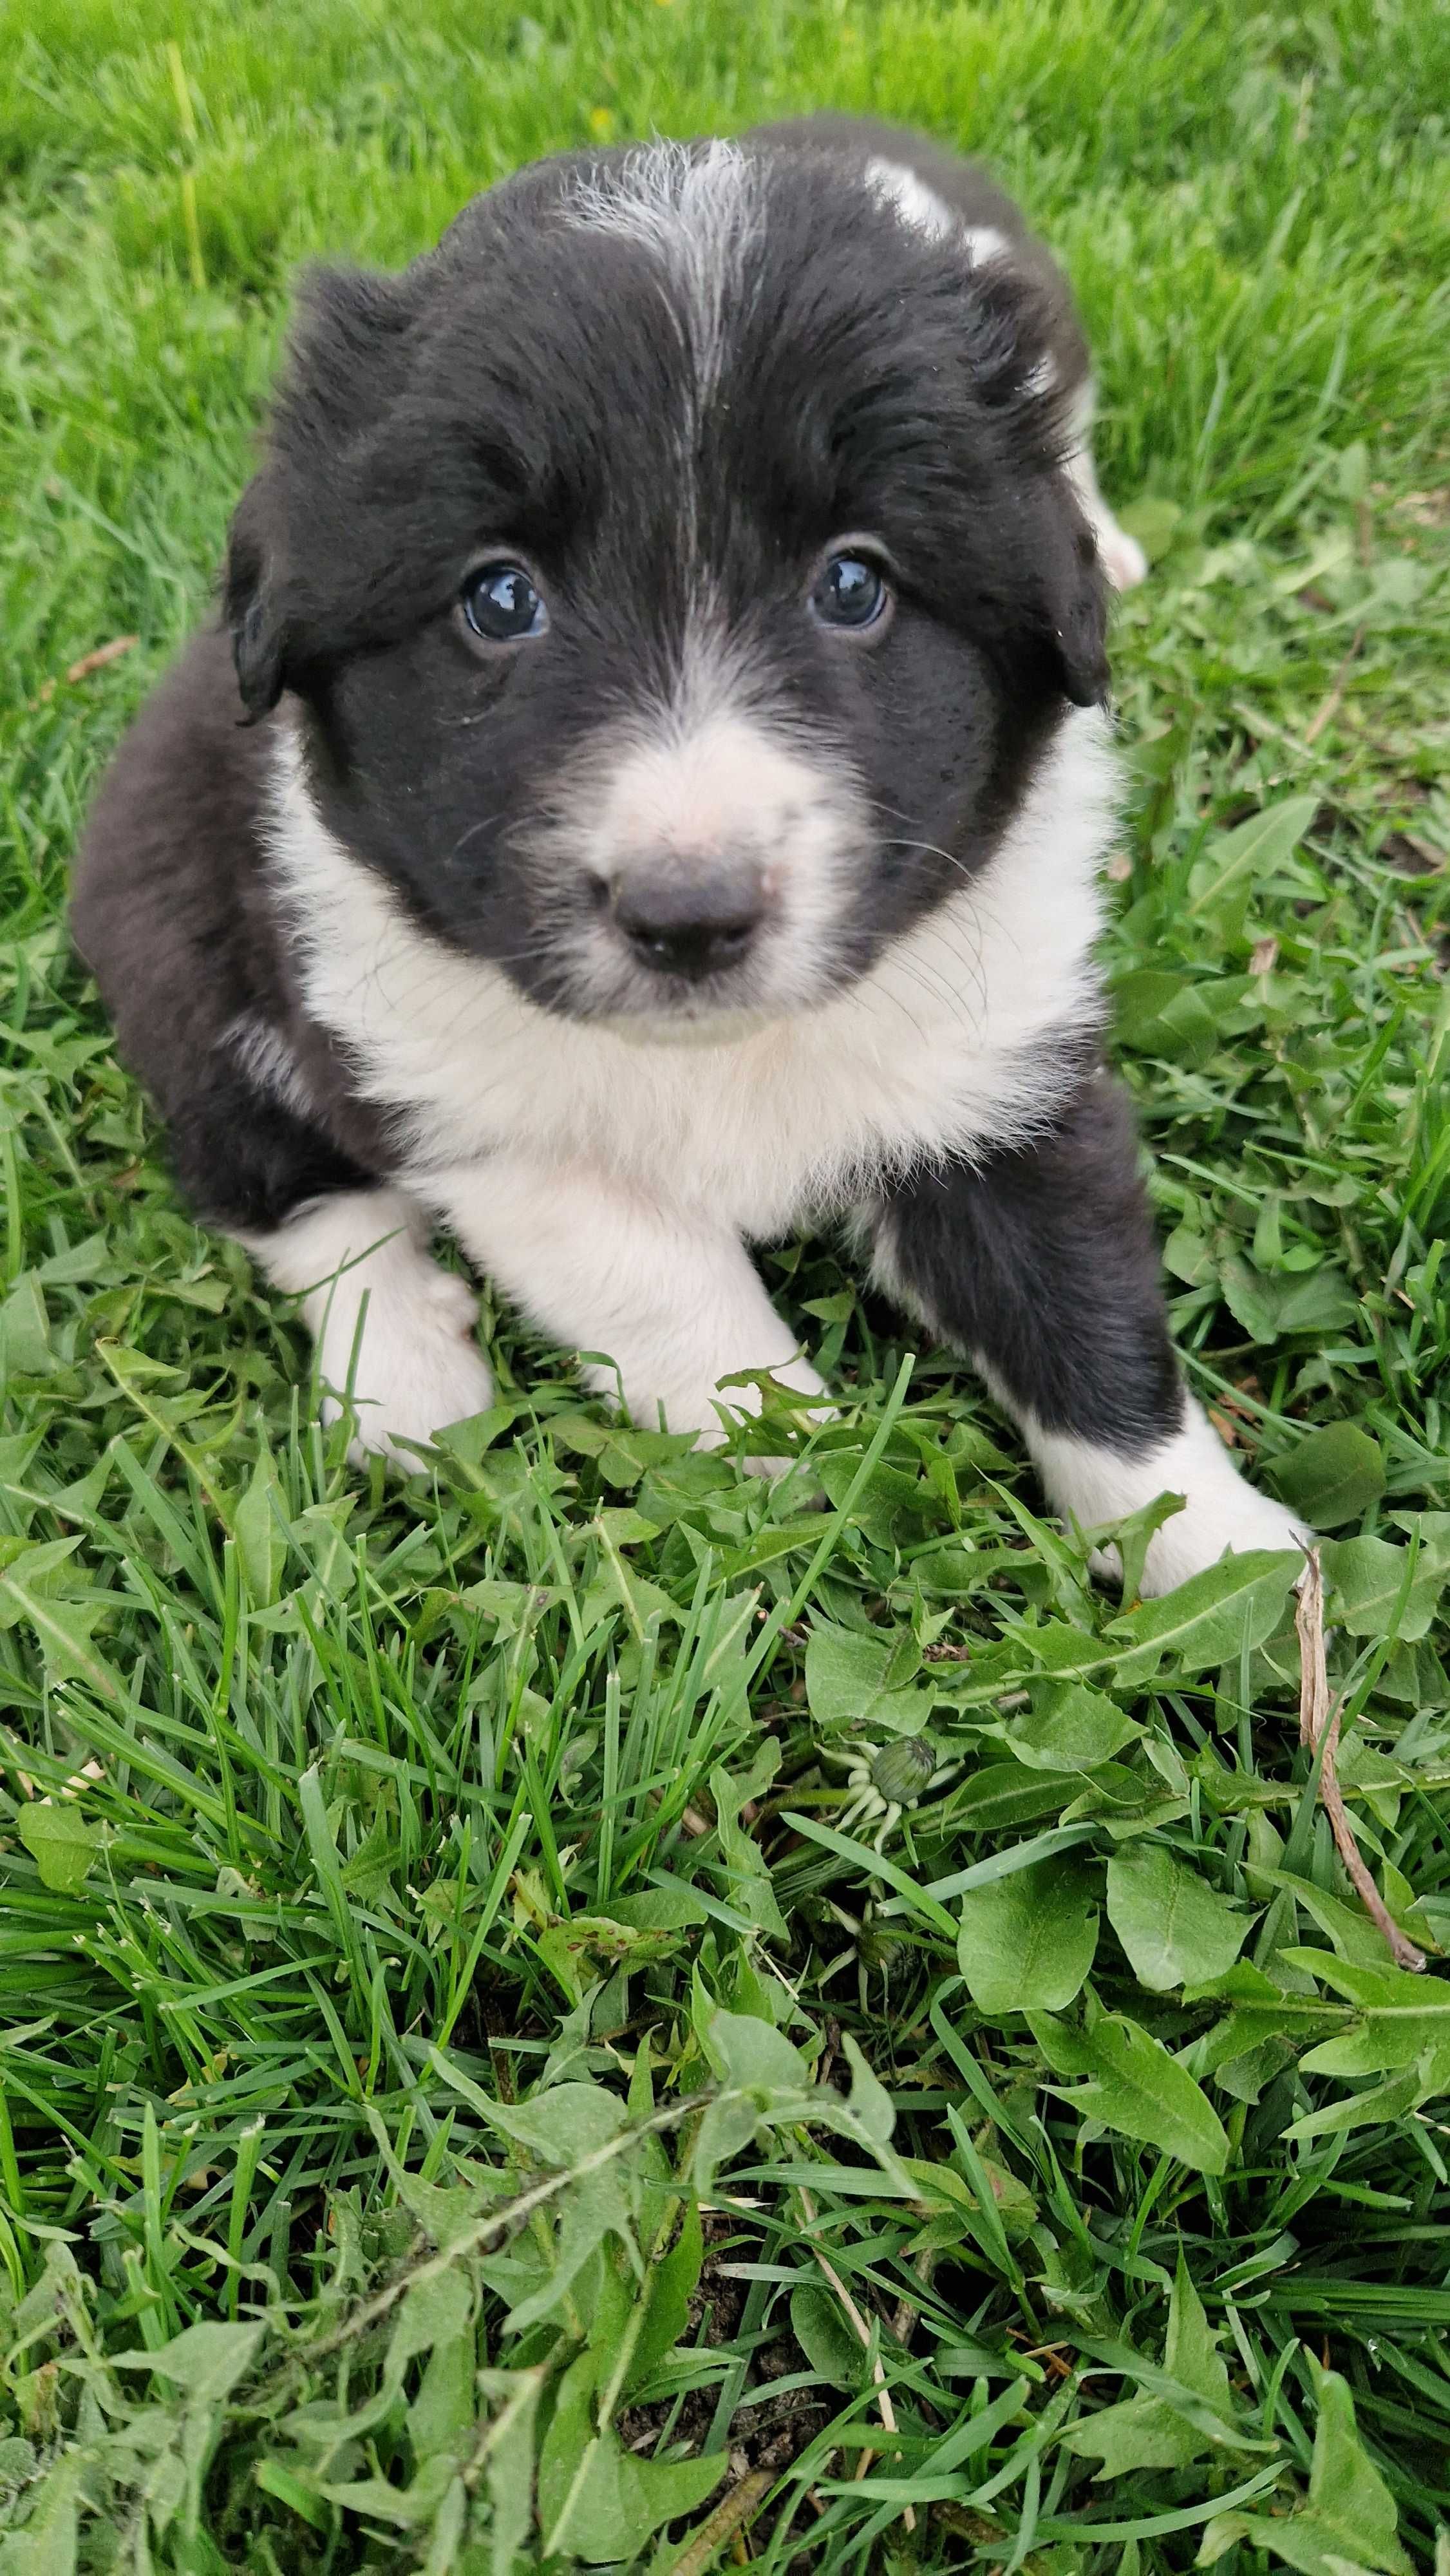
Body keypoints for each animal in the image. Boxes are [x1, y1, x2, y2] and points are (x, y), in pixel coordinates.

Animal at [73, 136, 1308, 1607]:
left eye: (854, 584)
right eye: (499, 599)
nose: (688, 917)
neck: (726, 1054)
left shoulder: (1001, 1061)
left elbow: (1084, 1309)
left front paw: (1226, 1565)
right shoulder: (490, 1119)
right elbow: (684, 1303)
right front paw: (815, 1480)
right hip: (188, 965)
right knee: (293, 1195)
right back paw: (410, 1381)